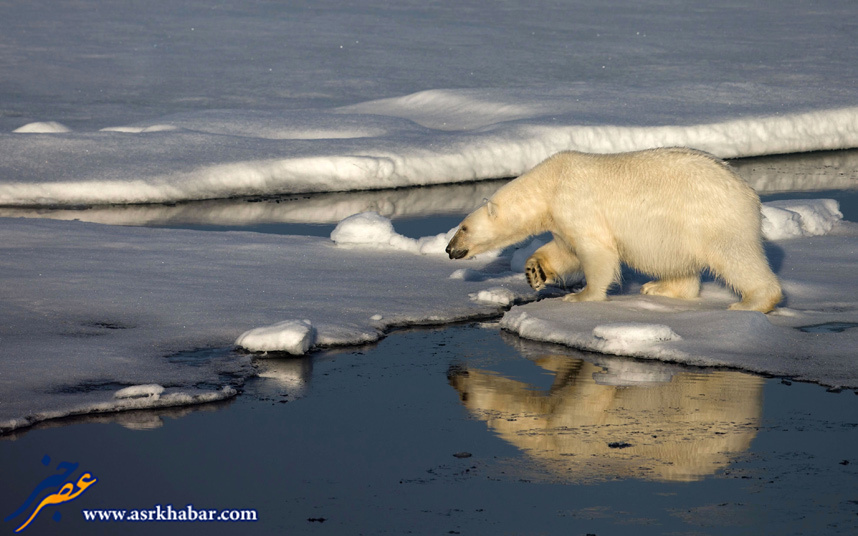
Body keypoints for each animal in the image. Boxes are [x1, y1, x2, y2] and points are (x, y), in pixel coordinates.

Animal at [448, 148, 784, 314]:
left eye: (463, 227)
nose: (449, 249)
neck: (549, 182)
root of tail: (749, 193)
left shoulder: (576, 203)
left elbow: (597, 251)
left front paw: (581, 296)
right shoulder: (560, 217)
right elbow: (564, 250)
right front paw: (535, 272)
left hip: (714, 218)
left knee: (735, 257)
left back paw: (752, 302)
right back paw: (659, 288)